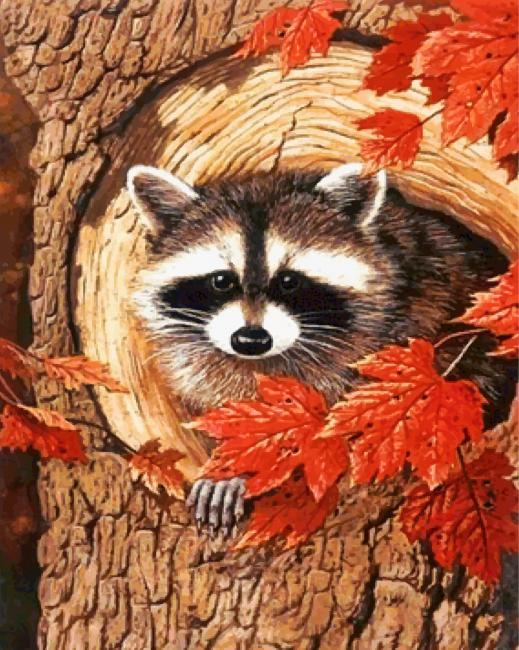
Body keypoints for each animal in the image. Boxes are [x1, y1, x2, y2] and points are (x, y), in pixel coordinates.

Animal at [127, 163, 516, 533]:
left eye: (289, 281)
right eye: (221, 281)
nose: (250, 340)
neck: (264, 363)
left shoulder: (406, 325)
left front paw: (239, 471)